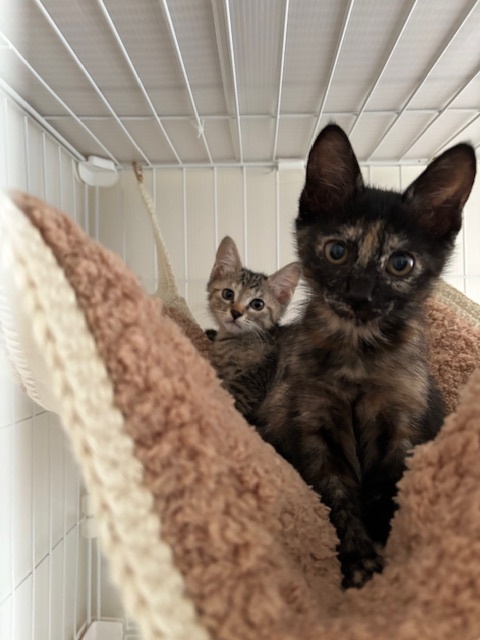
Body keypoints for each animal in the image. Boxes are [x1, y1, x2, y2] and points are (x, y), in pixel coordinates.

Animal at [257, 124, 477, 589]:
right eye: (337, 251)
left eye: (401, 263)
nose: (360, 295)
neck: (358, 351)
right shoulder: (315, 422)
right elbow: (335, 493)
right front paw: (359, 560)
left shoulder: (403, 420)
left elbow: (391, 489)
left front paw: (394, 561)